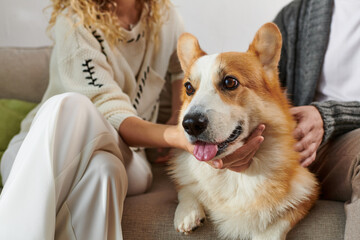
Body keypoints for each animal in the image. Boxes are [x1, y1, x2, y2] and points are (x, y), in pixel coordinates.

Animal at [169, 23, 318, 240]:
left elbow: (276, 224)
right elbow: (187, 188)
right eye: (188, 88)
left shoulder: (308, 191)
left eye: (230, 82)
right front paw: (188, 213)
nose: (190, 124)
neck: (232, 174)